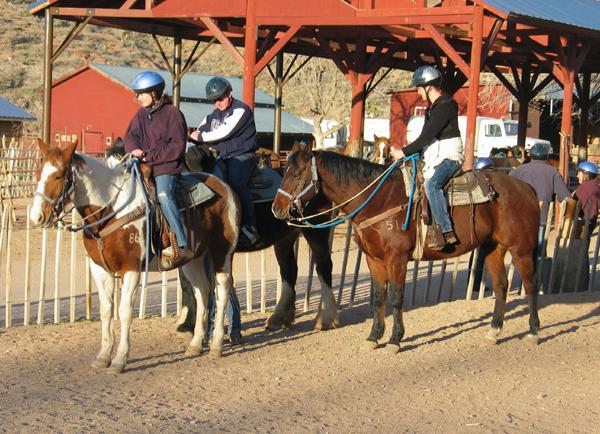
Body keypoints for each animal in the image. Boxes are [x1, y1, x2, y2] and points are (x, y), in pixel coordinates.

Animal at [28, 140, 239, 372]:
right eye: (37, 173)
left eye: (58, 176)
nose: (36, 216)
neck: (110, 210)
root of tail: (225, 186)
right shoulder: (99, 269)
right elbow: (106, 310)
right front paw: (103, 356)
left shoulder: (130, 269)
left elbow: (125, 312)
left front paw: (120, 359)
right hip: (192, 259)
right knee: (202, 290)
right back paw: (195, 345)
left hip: (222, 252)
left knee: (222, 291)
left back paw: (217, 345)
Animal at [106, 144, 338, 330]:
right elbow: (188, 284)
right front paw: (189, 321)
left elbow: (194, 285)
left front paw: (191, 324)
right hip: (285, 238)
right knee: (289, 271)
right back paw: (279, 319)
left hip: (316, 231)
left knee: (324, 266)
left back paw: (326, 318)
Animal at [274, 144, 540, 354]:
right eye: (283, 171)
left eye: (296, 173)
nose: (276, 208)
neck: (378, 200)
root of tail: (525, 186)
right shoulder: (374, 259)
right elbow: (378, 297)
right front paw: (374, 336)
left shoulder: (397, 258)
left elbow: (396, 296)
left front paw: (395, 340)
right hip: (494, 248)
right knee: (501, 286)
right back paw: (494, 331)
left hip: (521, 248)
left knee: (530, 285)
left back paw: (534, 331)